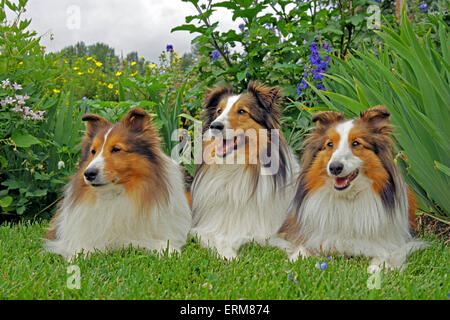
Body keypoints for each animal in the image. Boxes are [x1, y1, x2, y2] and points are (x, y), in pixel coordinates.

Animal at [45, 107, 192, 260]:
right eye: (93, 151)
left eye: (116, 149)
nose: (89, 173)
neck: (115, 194)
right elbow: (81, 245)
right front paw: (78, 255)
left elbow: (161, 242)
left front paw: (169, 251)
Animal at [189, 82, 298, 260]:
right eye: (219, 111)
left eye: (242, 111)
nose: (214, 126)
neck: (238, 166)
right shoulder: (209, 228)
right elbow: (220, 240)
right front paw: (230, 257)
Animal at [272, 106, 428, 272]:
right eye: (329, 144)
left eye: (356, 143)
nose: (334, 167)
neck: (348, 198)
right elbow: (302, 247)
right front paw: (296, 260)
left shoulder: (393, 242)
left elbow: (386, 254)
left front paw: (378, 269)